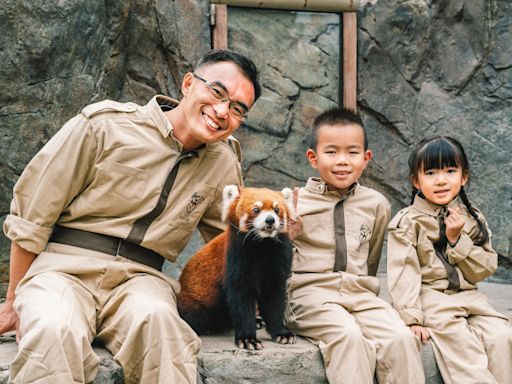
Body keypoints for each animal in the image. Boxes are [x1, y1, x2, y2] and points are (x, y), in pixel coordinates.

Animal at [178, 184, 296, 350]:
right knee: (198, 317)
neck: (263, 245)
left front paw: (282, 333)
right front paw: (248, 339)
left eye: (277, 209)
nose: (270, 220)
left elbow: (274, 297)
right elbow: (241, 298)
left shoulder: (278, 257)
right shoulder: (237, 256)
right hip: (194, 303)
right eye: (256, 209)